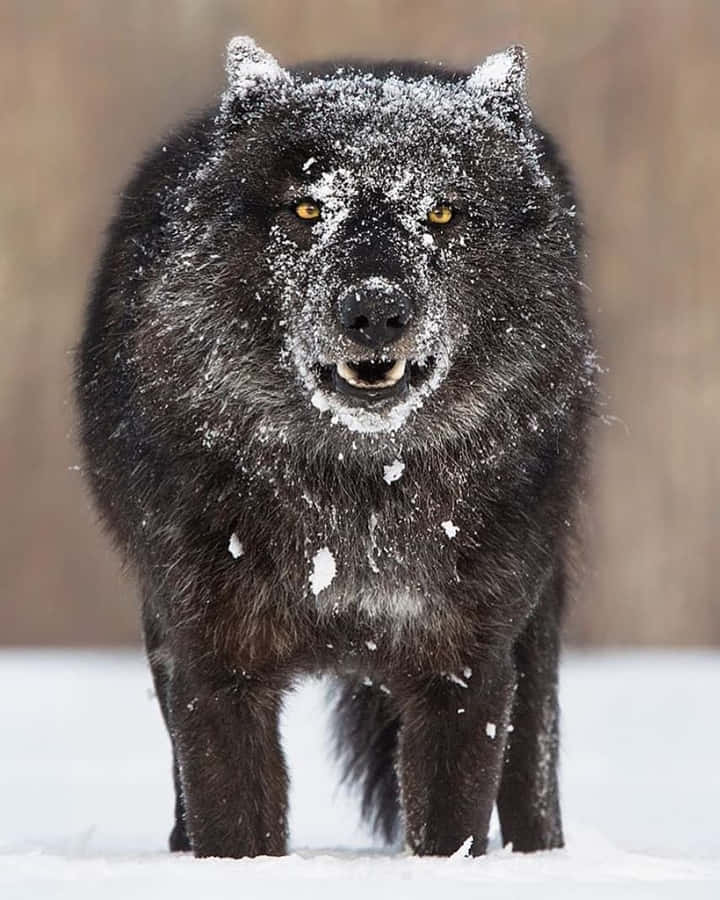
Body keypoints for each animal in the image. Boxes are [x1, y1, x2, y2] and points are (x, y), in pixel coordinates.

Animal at [76, 36, 595, 858]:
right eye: (309, 208)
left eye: (440, 212)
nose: (375, 309)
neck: (356, 493)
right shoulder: (214, 667)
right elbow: (235, 826)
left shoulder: (465, 669)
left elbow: (451, 829)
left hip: (535, 629)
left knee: (533, 778)